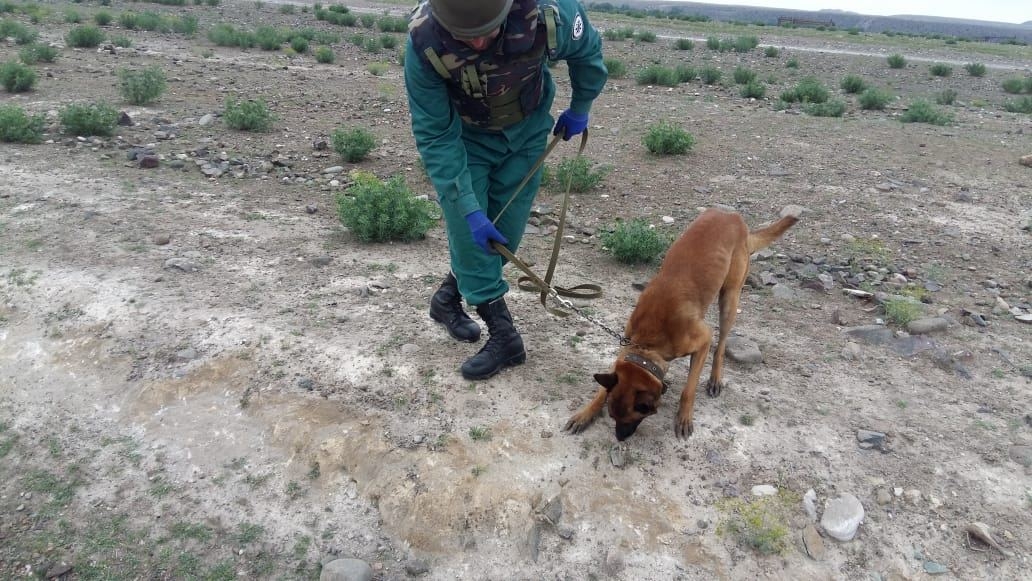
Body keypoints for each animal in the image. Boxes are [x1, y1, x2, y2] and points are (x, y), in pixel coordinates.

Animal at [565, 206, 796, 439]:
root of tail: (732, 216)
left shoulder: (702, 341)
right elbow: (603, 389)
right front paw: (586, 413)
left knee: (721, 343)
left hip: (730, 298)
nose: (620, 439)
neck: (649, 342)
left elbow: (689, 388)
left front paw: (684, 417)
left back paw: (715, 378)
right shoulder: (626, 345)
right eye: (612, 416)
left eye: (634, 417)